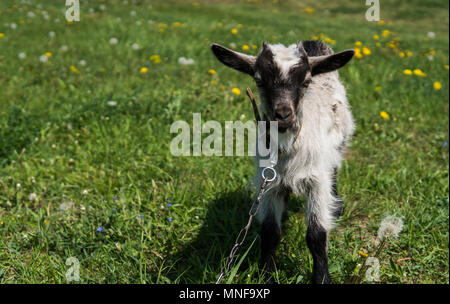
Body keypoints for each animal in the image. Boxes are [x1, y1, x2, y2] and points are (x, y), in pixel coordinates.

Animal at [211, 39, 356, 282]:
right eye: (259, 80)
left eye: (306, 81)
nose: (283, 115)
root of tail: (313, 42)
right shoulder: (269, 183)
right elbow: (270, 232)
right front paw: (267, 274)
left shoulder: (317, 181)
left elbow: (316, 235)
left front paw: (322, 277)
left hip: (339, 143)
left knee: (335, 169)